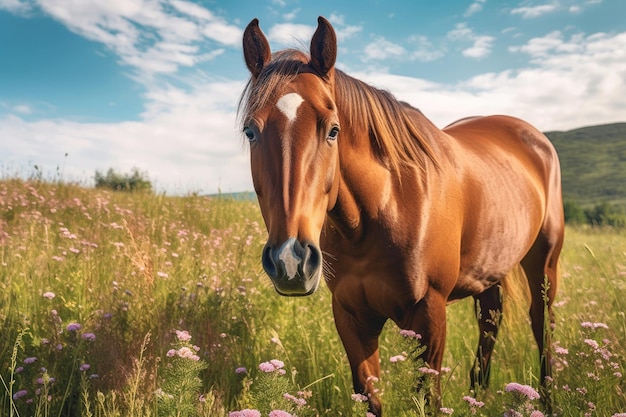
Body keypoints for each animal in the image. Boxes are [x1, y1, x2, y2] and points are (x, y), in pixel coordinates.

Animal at [236, 15, 564, 412]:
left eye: (333, 130)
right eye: (250, 131)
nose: (291, 260)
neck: (382, 209)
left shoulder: (429, 314)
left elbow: (428, 399)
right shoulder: (351, 316)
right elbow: (371, 397)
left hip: (544, 264)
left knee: (542, 328)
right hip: (489, 271)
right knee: (490, 324)